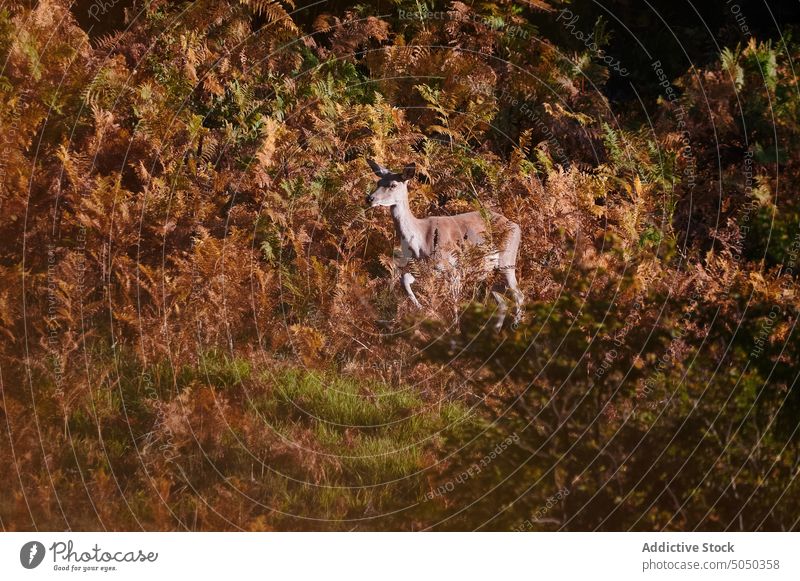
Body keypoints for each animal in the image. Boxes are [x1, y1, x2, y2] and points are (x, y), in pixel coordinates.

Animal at [364, 159, 524, 328]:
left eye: (393, 185)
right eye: (378, 182)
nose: (370, 198)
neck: (420, 242)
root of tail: (517, 226)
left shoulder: (452, 267)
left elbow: (454, 301)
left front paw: (454, 327)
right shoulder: (426, 269)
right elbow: (405, 279)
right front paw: (421, 307)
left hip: (507, 259)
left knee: (519, 295)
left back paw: (516, 326)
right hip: (487, 270)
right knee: (502, 301)